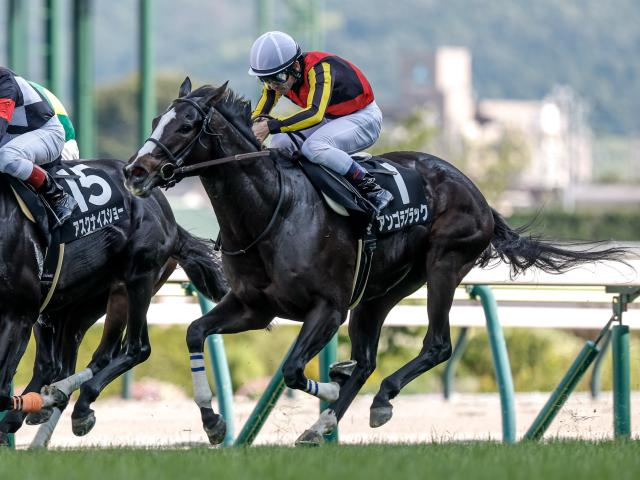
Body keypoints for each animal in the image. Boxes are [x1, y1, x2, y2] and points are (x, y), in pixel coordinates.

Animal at [0, 158, 228, 446]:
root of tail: (169, 217)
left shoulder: (18, 314)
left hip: (133, 282)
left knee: (133, 349)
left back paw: (74, 406)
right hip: (76, 304)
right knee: (62, 363)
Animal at [123, 78, 627, 446]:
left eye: (187, 125)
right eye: (156, 118)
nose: (135, 171)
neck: (272, 212)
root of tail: (479, 195)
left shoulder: (327, 309)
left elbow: (293, 370)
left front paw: (329, 386)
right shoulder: (252, 307)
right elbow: (195, 332)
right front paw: (213, 422)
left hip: (443, 265)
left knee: (437, 345)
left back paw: (371, 402)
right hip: (380, 292)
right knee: (367, 359)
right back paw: (325, 421)